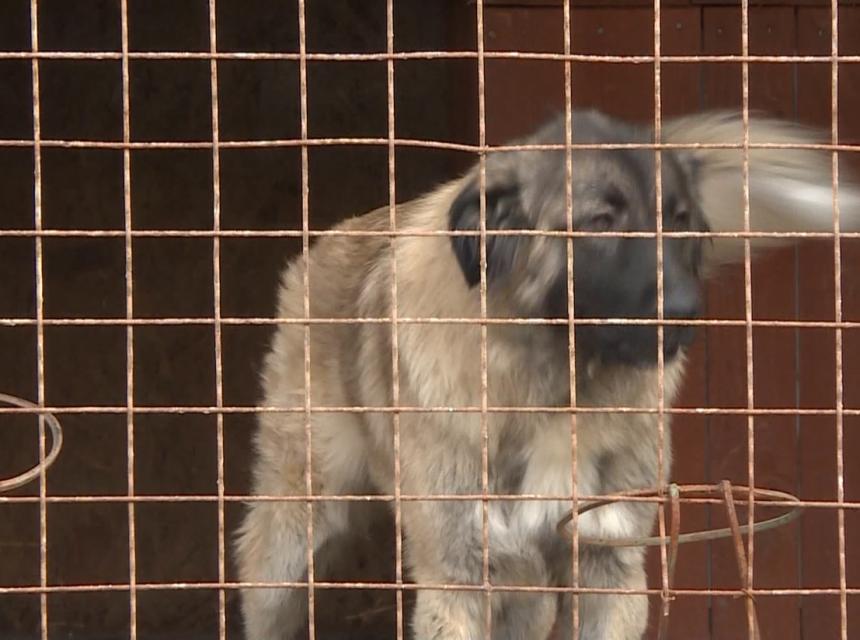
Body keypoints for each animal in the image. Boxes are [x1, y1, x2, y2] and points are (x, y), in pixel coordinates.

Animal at [235, 110, 860, 639]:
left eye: (680, 222)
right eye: (602, 222)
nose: (687, 310)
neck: (556, 392)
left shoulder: (607, 563)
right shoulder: (461, 574)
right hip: (291, 544)